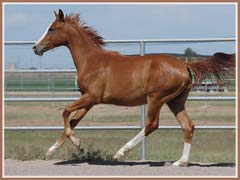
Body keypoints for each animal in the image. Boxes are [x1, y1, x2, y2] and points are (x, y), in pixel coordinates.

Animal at [32, 9, 234, 166]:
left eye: (52, 29)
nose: (35, 48)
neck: (91, 61)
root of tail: (185, 66)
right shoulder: (89, 101)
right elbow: (73, 121)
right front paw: (52, 151)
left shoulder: (92, 97)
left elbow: (65, 111)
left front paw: (77, 143)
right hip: (176, 101)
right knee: (188, 126)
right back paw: (180, 162)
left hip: (156, 98)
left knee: (152, 124)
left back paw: (120, 152)